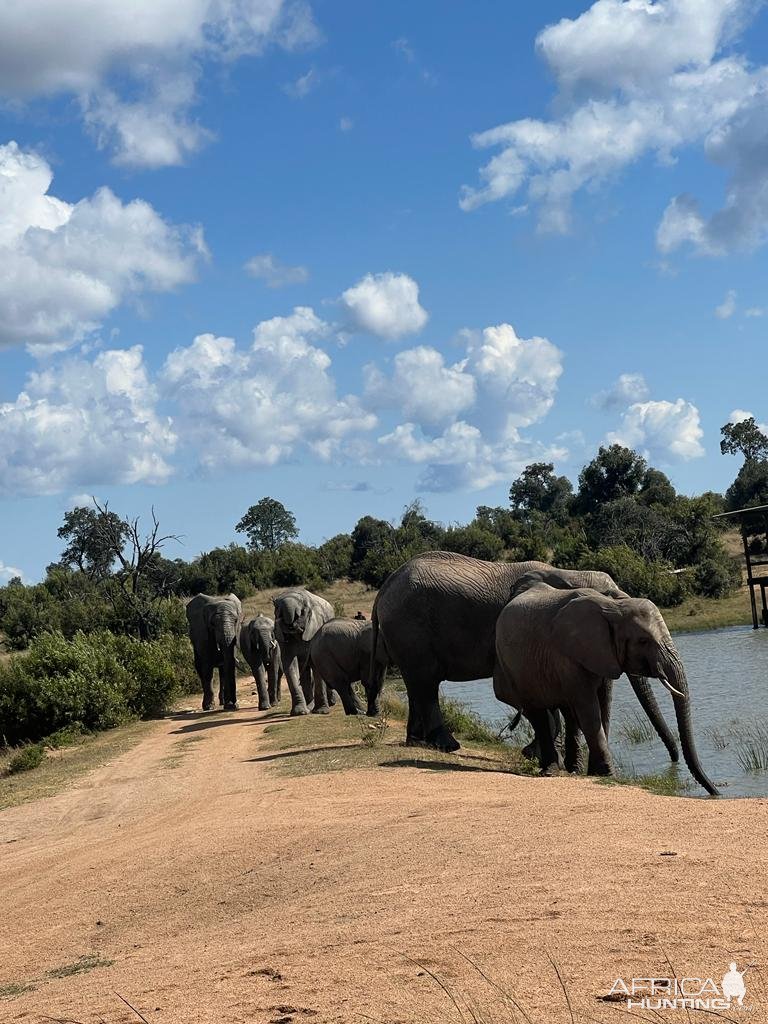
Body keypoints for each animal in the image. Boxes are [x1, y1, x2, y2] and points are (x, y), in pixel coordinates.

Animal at [370, 552, 675, 761]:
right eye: (612, 600)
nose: (674, 760)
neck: (564, 573)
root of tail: (385, 587)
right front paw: (537, 754)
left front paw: (534, 754)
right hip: (410, 627)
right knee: (426, 683)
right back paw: (447, 745)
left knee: (417, 685)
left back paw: (417, 742)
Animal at [495, 581, 720, 794]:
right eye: (643, 640)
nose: (716, 792)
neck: (612, 607)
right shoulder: (568, 655)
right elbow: (588, 708)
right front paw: (608, 775)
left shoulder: (600, 655)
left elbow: (603, 703)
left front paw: (595, 773)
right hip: (511, 667)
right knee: (537, 714)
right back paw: (551, 770)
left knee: (567, 714)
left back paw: (572, 769)